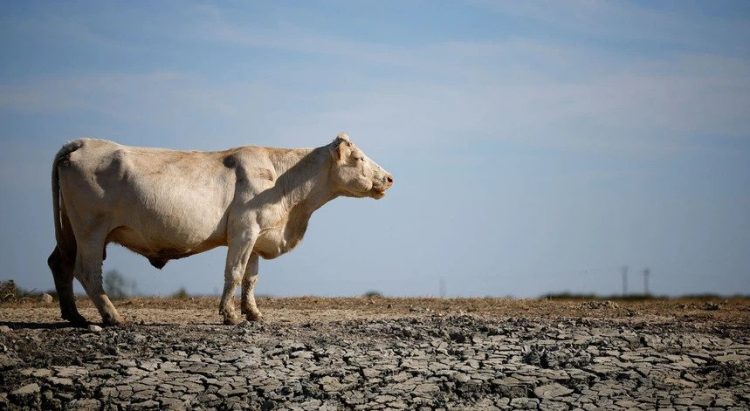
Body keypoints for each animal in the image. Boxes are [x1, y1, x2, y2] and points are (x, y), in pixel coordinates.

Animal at [47, 134, 396, 326]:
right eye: (358, 157)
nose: (390, 177)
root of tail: (82, 142)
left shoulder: (258, 235)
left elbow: (251, 278)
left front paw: (253, 314)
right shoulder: (244, 230)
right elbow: (235, 272)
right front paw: (230, 315)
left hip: (70, 232)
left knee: (59, 263)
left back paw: (74, 316)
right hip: (90, 230)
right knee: (87, 271)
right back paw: (112, 317)